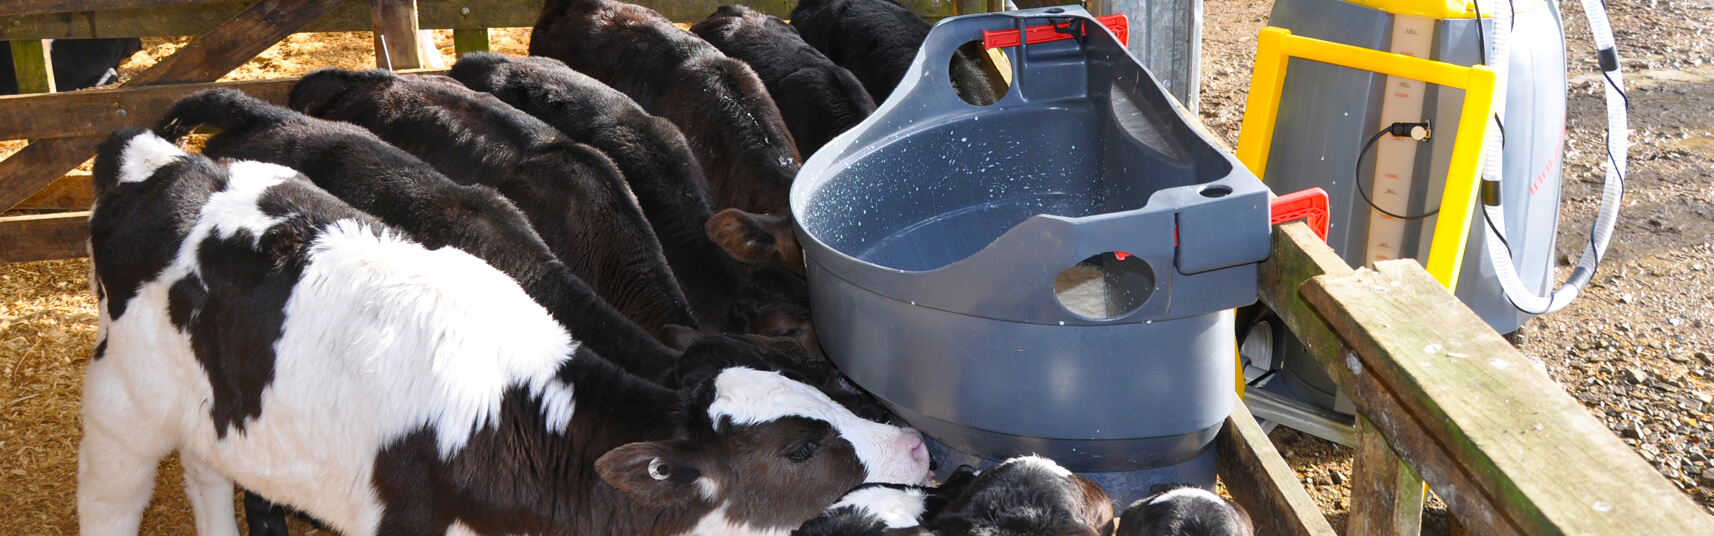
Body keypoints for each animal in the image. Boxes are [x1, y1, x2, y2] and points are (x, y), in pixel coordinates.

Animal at [78, 128, 933, 536]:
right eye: (799, 448)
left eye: (837, 384)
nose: (920, 447)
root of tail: (171, 163)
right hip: (121, 410)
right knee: (111, 504)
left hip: (208, 407)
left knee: (207, 474)